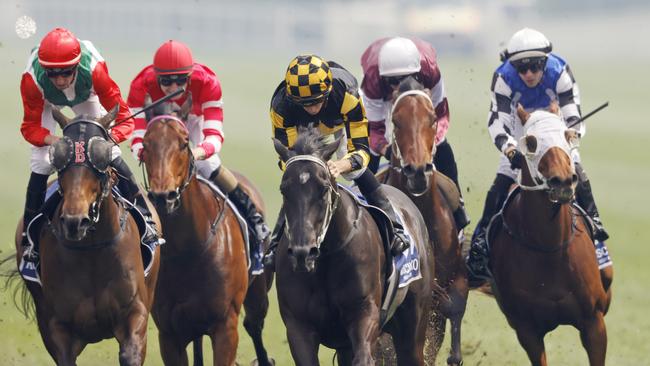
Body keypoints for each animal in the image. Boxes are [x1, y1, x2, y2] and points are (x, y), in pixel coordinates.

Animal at [13, 108, 160, 366]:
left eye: (100, 162)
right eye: (61, 164)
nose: (75, 221)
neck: (92, 249)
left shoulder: (135, 313)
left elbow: (130, 352)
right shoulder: (57, 328)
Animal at [140, 99, 272, 366]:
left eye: (183, 143)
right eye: (146, 145)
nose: (163, 197)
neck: (186, 250)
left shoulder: (225, 326)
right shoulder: (169, 334)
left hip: (258, 291)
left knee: (254, 325)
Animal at [270, 126, 432, 366]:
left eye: (324, 188)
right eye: (284, 189)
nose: (302, 253)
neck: (326, 258)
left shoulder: (365, 314)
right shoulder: (298, 327)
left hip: (413, 326)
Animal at [488, 106, 612, 366]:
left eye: (566, 134)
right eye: (532, 142)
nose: (562, 180)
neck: (550, 247)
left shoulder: (594, 322)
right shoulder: (527, 330)